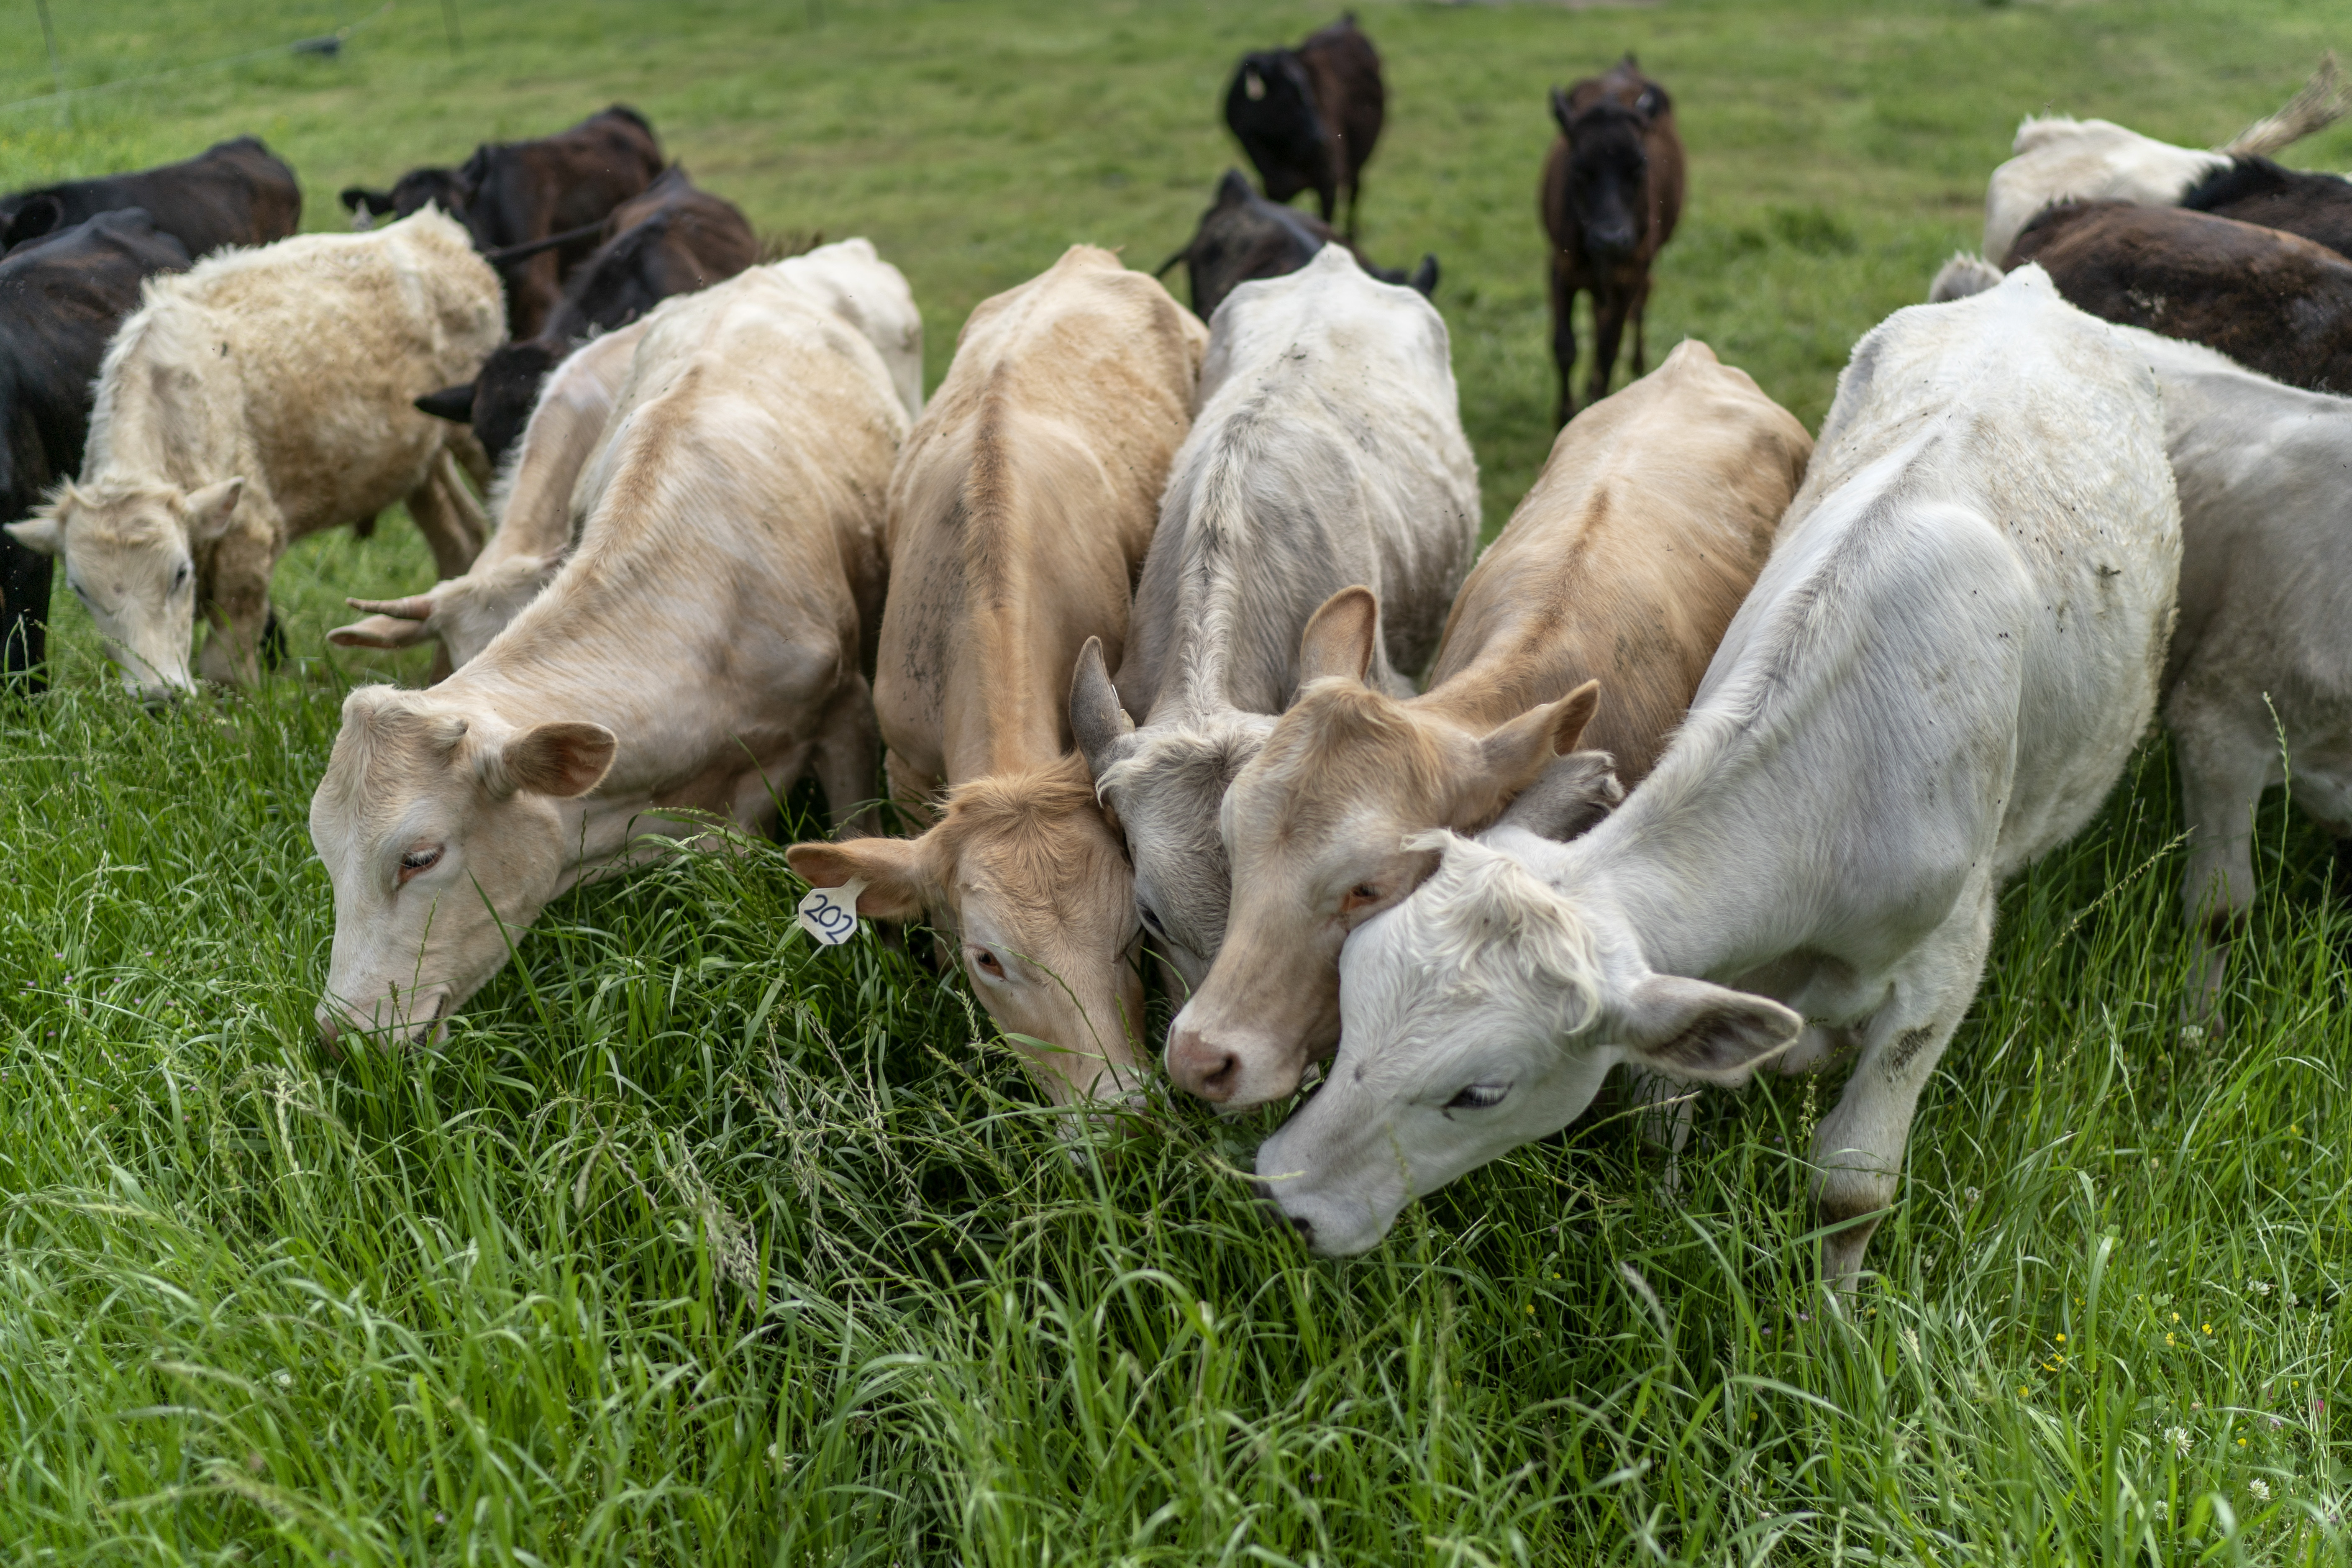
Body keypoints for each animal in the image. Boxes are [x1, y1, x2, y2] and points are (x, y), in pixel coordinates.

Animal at [1224, 14, 1384, 239]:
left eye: (1310, 91)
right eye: (1287, 96)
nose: (1320, 138)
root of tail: (1346, 22)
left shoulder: (1328, 179)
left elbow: (1326, 220)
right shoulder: (1273, 186)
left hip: (1358, 158)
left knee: (1354, 191)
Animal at [1252, 268, 2180, 1284]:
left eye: (1480, 1091)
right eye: (1351, 996)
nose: (1286, 1198)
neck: (1833, 804)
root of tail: (2023, 287)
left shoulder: (1942, 972)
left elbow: (1852, 1187)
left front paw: (1833, 1319)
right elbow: (1665, 1119)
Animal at [1541, 56, 1684, 425]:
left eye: (1639, 167)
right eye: (1578, 168)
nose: (1611, 239)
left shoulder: (1630, 274)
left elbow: (1609, 348)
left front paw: (1595, 403)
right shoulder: (1560, 269)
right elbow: (1565, 346)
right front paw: (1565, 414)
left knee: (1638, 310)